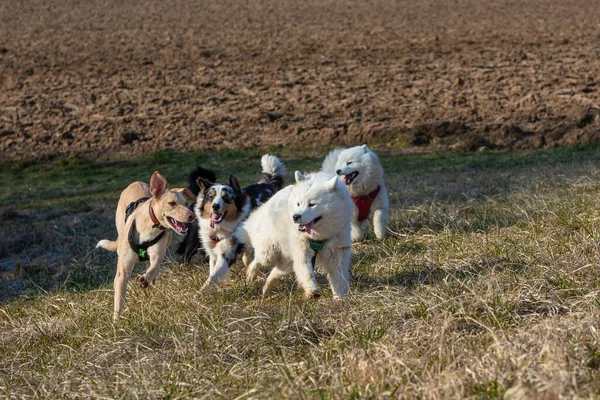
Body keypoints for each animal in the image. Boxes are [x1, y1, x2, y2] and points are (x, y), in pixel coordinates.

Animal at [96, 170, 195, 320]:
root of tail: (135, 182)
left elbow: (153, 268)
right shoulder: (124, 270)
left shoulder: (157, 256)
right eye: (172, 203)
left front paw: (145, 279)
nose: (192, 216)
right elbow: (119, 298)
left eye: (186, 203)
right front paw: (116, 321)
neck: (150, 226)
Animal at [178, 155, 286, 290]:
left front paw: (202, 291)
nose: (215, 206)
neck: (220, 227)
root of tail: (267, 185)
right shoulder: (212, 251)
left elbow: (214, 275)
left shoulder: (227, 252)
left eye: (226, 197)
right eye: (210, 197)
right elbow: (212, 271)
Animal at [236, 170, 356, 298]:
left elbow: (339, 280)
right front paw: (312, 290)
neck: (319, 237)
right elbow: (307, 273)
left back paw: (266, 288)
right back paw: (251, 274)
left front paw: (340, 298)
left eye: (312, 204)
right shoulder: (302, 253)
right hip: (270, 253)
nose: (295, 216)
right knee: (257, 261)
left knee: (274, 272)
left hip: (288, 263)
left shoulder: (337, 255)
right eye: (298, 204)